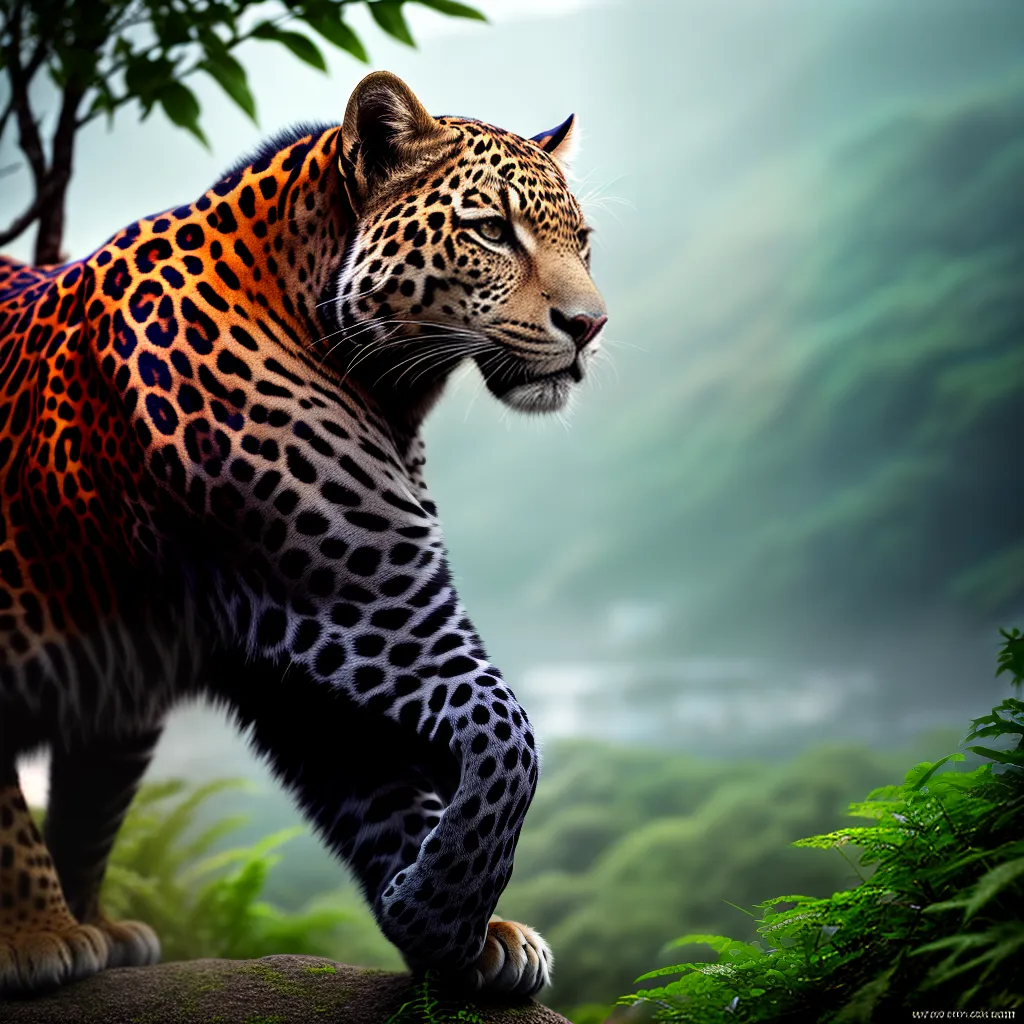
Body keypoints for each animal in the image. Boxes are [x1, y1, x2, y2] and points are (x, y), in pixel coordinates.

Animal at [0, 70, 606, 999]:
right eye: (492, 230)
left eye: (584, 241)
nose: (591, 327)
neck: (386, 388)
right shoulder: (363, 598)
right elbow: (510, 734)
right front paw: (31, 935)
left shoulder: (310, 626)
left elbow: (392, 781)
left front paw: (451, 928)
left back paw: (98, 924)